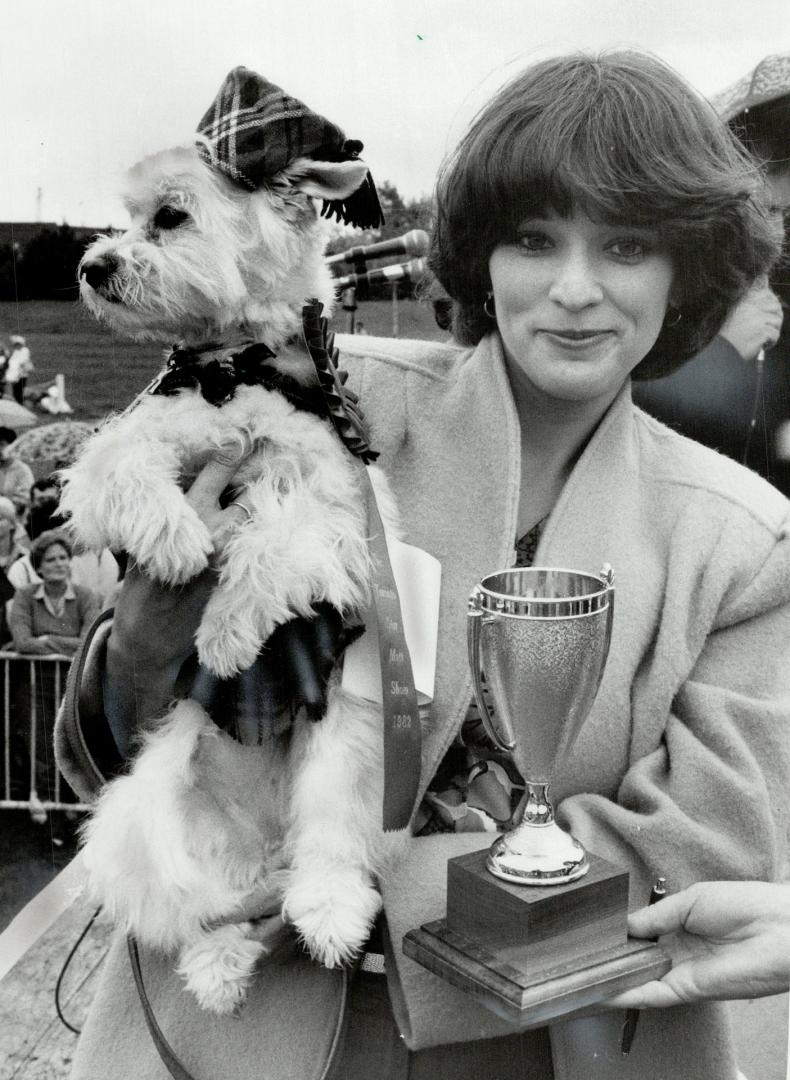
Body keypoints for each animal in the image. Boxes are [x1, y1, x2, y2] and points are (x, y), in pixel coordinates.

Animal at [62, 71, 408, 1015]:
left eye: (170, 217)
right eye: (124, 218)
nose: (92, 266)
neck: (233, 364)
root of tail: (260, 843)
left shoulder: (335, 510)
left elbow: (268, 545)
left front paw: (220, 633)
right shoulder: (126, 443)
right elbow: (130, 474)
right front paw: (181, 543)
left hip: (344, 755)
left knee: (326, 849)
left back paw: (326, 910)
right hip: (146, 818)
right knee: (194, 906)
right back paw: (217, 962)